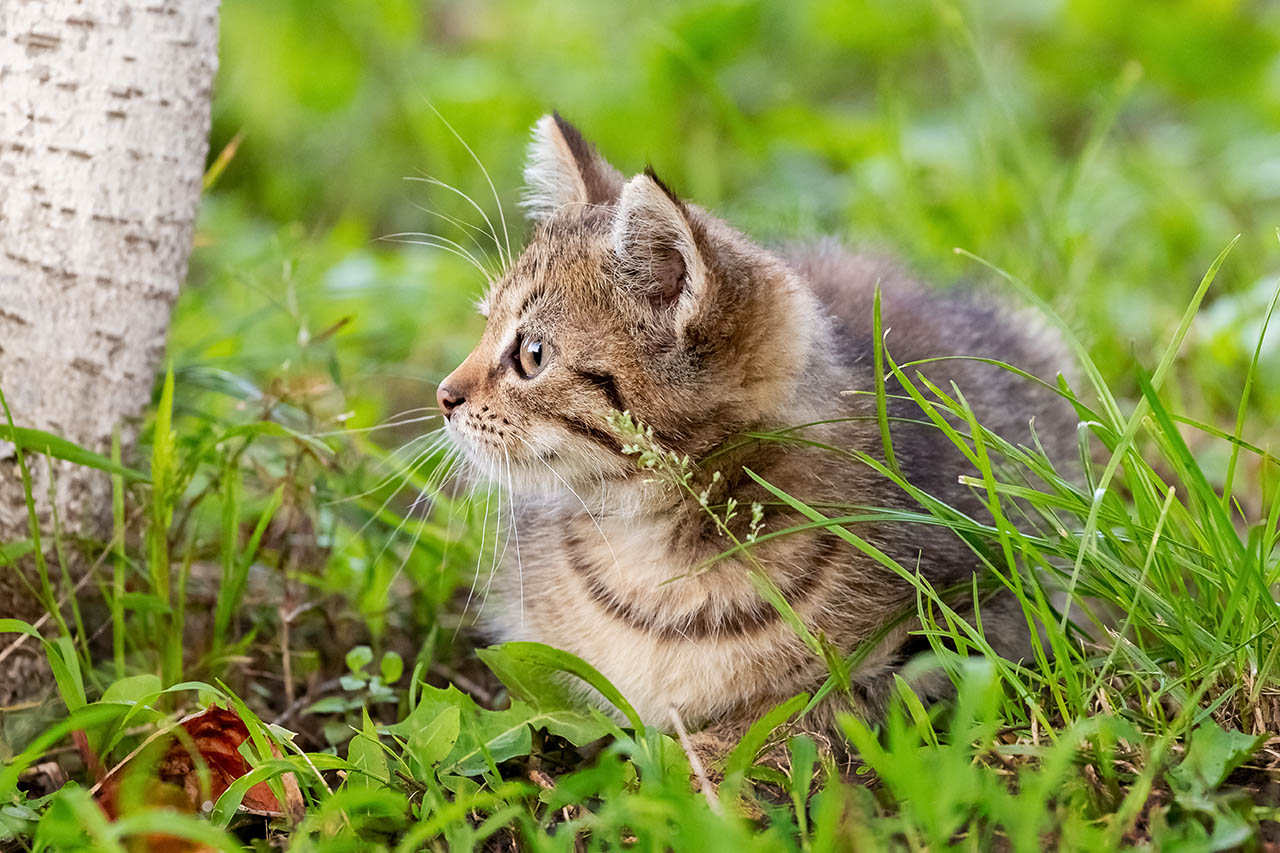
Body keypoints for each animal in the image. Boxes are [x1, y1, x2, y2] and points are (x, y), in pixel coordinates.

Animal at [435, 112, 1075, 753]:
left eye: (532, 355)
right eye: (484, 323)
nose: (443, 395)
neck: (657, 554)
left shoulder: (970, 624)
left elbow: (802, 717)